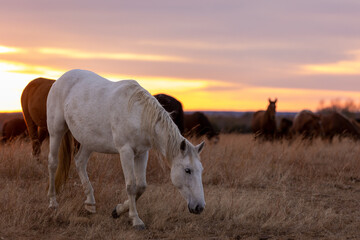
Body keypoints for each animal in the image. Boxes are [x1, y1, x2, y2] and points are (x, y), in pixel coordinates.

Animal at [46, 69, 205, 229]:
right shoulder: (126, 152)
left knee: (80, 162)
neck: (137, 115)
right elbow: (130, 186)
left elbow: (141, 186)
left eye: (201, 170)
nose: (200, 207)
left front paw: (118, 210)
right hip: (56, 131)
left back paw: (90, 204)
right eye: (187, 170)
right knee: (53, 163)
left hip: (88, 140)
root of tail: (60, 79)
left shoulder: (142, 153)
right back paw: (53, 202)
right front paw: (135, 219)